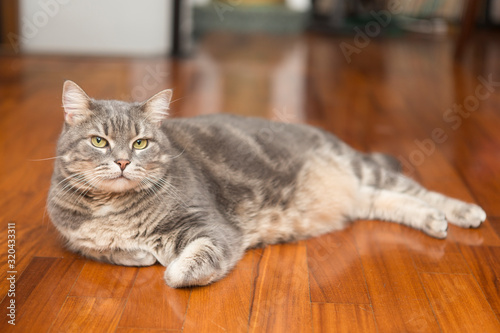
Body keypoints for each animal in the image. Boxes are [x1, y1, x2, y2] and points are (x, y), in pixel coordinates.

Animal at [47, 80, 484, 286]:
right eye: (99, 141)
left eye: (140, 143)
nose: (122, 162)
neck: (111, 207)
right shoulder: (78, 240)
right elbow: (106, 251)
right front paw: (136, 254)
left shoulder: (211, 228)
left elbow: (183, 267)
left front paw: (168, 267)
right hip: (359, 196)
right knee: (386, 199)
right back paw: (430, 219)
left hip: (359, 167)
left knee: (415, 189)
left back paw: (462, 211)